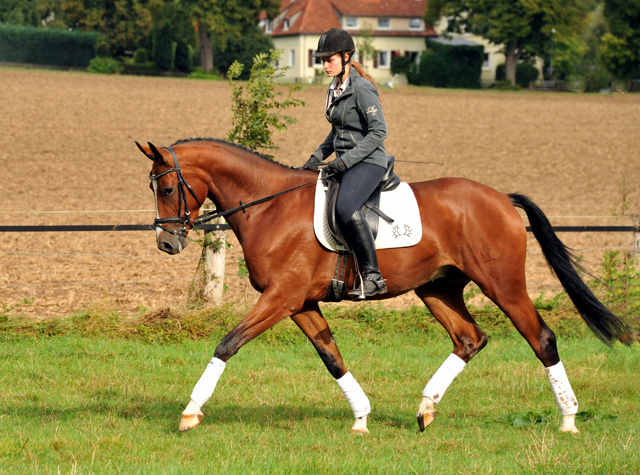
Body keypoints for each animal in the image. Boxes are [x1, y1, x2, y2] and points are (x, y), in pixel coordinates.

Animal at [136, 138, 632, 436]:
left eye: (167, 188)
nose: (166, 242)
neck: (269, 207)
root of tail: (501, 199)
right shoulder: (300, 303)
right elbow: (332, 358)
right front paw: (361, 418)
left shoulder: (280, 297)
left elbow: (228, 343)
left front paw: (190, 412)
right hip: (437, 288)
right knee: (469, 339)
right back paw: (426, 408)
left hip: (503, 286)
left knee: (541, 338)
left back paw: (568, 419)